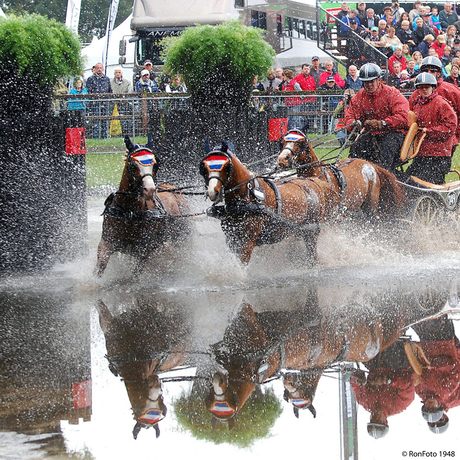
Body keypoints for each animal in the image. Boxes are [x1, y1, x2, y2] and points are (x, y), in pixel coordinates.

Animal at [95, 135, 190, 274]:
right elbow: (100, 266)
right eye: (132, 165)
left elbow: (134, 274)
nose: (150, 189)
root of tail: (172, 189)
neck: (129, 212)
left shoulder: (144, 251)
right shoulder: (107, 242)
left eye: (155, 165)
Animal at [199, 144, 340, 266]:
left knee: (312, 254)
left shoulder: (248, 241)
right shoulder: (231, 239)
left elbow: (242, 264)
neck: (247, 196)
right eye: (204, 168)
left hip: (311, 231)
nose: (213, 192)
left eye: (226, 166)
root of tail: (314, 182)